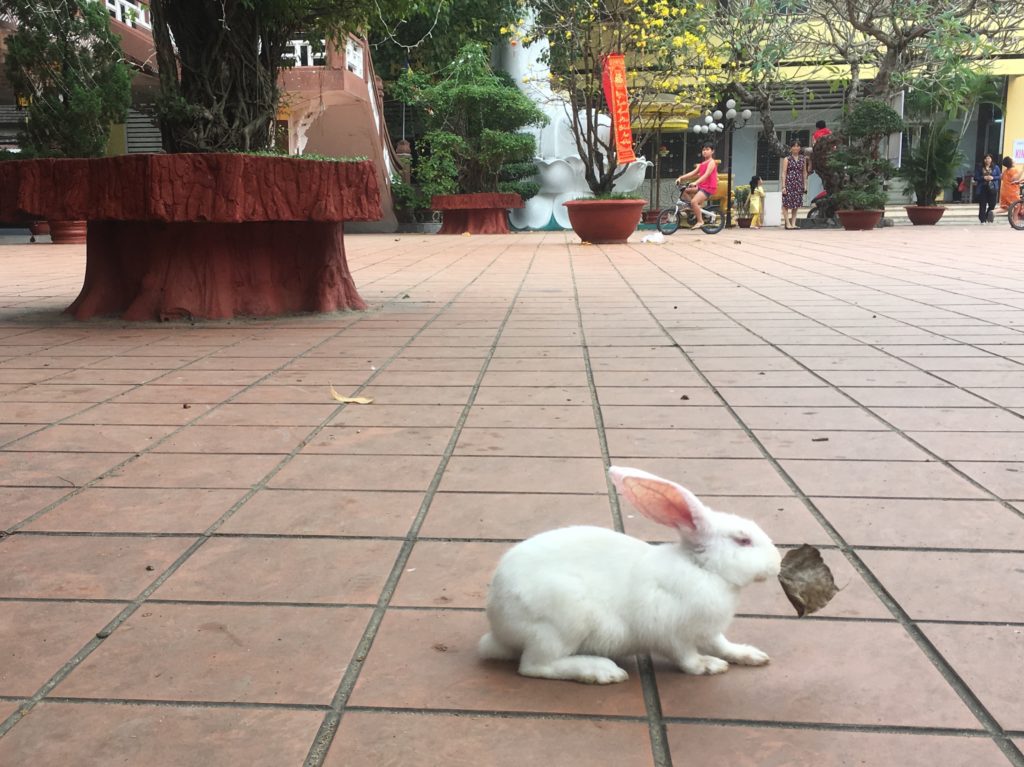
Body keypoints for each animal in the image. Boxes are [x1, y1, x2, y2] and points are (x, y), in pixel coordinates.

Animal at [479, 462, 782, 684]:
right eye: (743, 540)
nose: (777, 563)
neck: (702, 568)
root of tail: (498, 628)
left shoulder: (710, 631)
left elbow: (722, 645)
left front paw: (751, 655)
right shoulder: (672, 634)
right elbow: (687, 658)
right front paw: (708, 666)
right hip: (561, 625)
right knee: (536, 666)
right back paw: (602, 671)